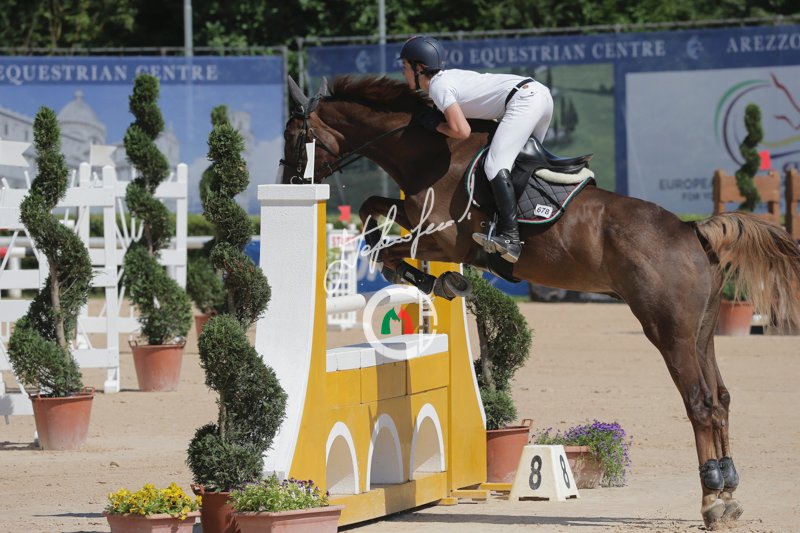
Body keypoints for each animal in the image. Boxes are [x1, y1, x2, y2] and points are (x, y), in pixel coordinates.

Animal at [280, 75, 800, 529]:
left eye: (292, 136)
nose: (289, 182)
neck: (431, 151)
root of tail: (692, 231)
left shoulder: (443, 239)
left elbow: (388, 241)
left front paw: (427, 278)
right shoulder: (420, 220)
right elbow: (372, 208)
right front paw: (427, 276)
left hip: (668, 331)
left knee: (700, 404)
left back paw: (712, 501)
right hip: (702, 331)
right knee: (721, 399)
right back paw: (728, 492)